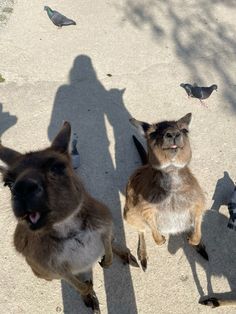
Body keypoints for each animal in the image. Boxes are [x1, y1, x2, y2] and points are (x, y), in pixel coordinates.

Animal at [0, 121, 137, 312]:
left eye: (58, 167)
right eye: (8, 184)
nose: (22, 188)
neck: (69, 229)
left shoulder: (104, 223)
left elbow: (107, 245)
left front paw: (107, 261)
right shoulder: (50, 265)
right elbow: (72, 280)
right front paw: (87, 290)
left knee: (111, 241)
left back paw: (125, 256)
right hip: (40, 271)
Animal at [124, 113, 207, 270]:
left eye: (185, 130)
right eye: (152, 133)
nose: (173, 134)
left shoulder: (198, 199)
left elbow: (199, 217)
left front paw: (194, 240)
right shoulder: (145, 206)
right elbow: (151, 226)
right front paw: (160, 240)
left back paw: (199, 245)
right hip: (130, 212)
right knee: (141, 229)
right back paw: (142, 257)